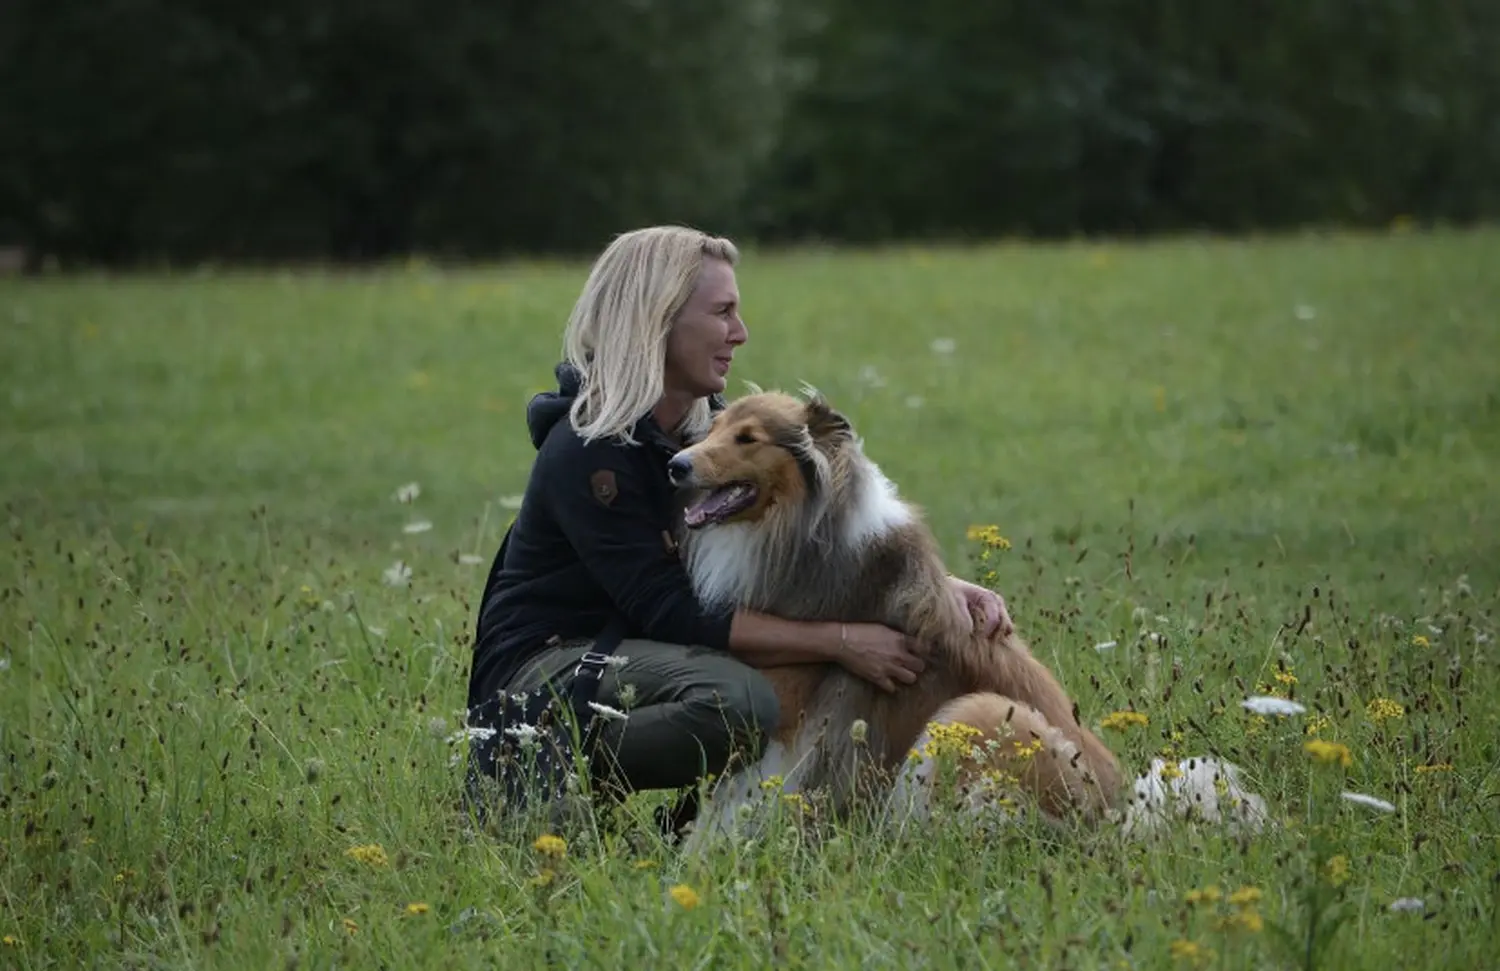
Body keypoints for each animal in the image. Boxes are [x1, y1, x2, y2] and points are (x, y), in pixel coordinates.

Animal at [663, 390, 1128, 852]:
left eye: (747, 438)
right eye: (714, 429)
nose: (675, 465)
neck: (805, 529)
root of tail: (1118, 819)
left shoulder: (785, 717)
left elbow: (732, 804)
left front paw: (703, 858)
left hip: (978, 716)